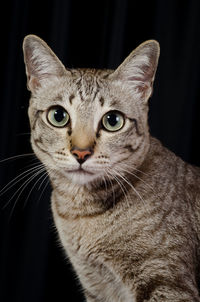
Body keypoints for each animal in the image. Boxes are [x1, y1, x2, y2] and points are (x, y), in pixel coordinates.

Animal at [22, 34, 200, 300]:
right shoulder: (95, 284)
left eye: (112, 121)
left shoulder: (168, 282)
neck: (80, 213)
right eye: (58, 116)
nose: (81, 152)